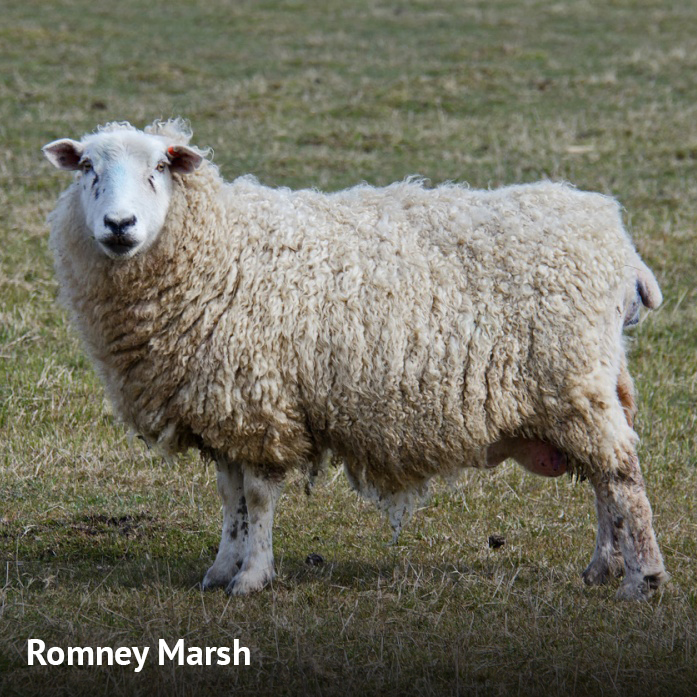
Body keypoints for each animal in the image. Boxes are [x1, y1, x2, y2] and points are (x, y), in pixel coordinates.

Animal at [42, 118, 667, 599]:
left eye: (160, 169)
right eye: (87, 168)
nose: (119, 225)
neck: (221, 248)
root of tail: (616, 239)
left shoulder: (262, 400)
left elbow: (258, 497)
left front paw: (251, 578)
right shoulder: (227, 405)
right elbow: (230, 498)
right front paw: (221, 569)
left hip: (573, 382)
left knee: (621, 474)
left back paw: (643, 579)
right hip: (592, 384)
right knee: (604, 480)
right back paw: (603, 566)